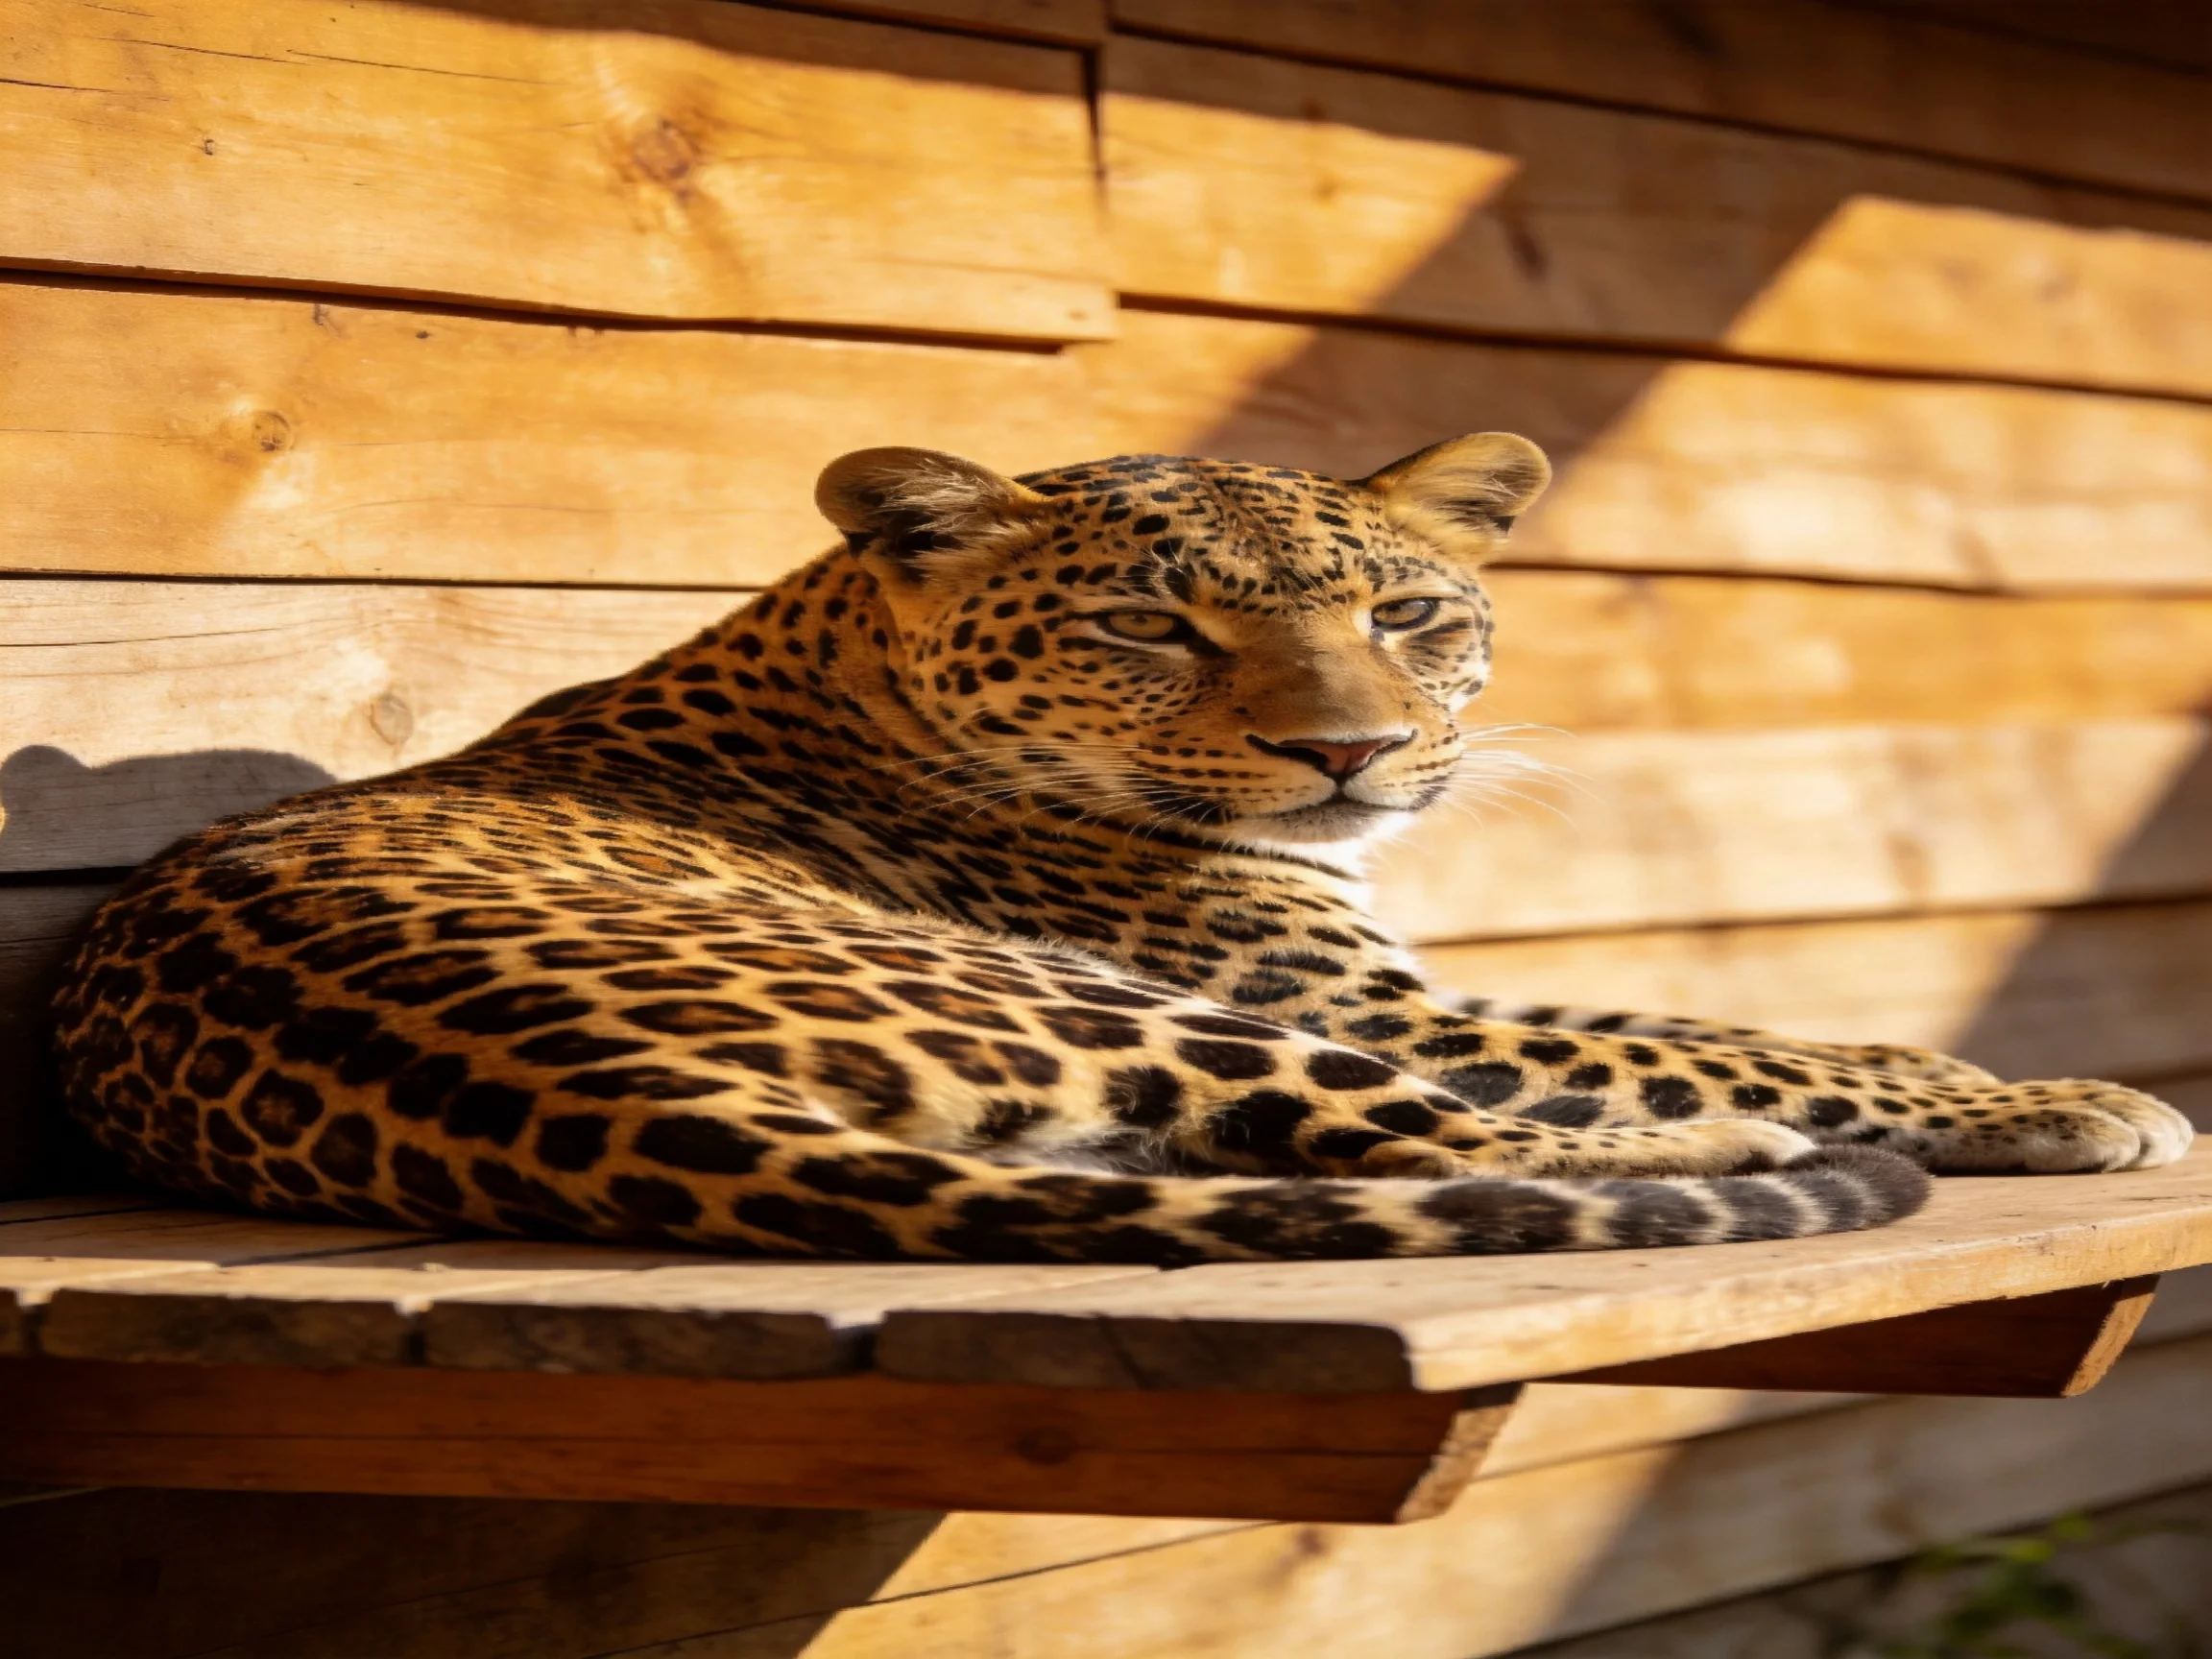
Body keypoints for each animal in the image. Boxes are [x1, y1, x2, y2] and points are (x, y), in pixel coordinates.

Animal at [50, 434, 2194, 1263]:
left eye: (1406, 613)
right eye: (1149, 627)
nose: (1349, 751)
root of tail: (574, 1092)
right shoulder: (1364, 997)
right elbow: (1716, 1032)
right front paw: (2055, 1094)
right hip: (1142, 1011)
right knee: (1425, 1140)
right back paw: (1767, 1148)